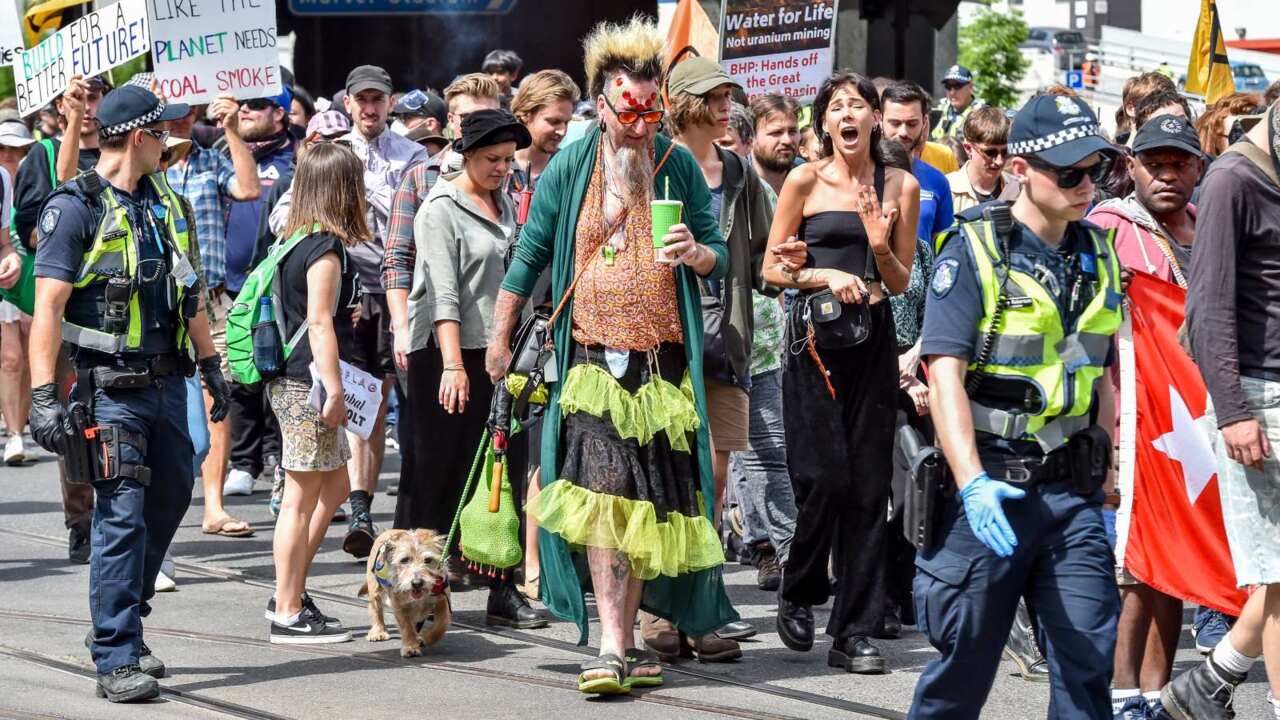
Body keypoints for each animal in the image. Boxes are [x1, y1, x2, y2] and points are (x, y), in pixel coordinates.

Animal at [358, 525, 453, 653]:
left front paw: (426, 638)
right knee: (376, 609)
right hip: (374, 589)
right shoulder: (400, 605)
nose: (417, 583)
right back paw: (378, 631)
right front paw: (411, 646)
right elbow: (406, 626)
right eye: (404, 560)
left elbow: (442, 624)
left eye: (428, 560)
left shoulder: (443, 600)